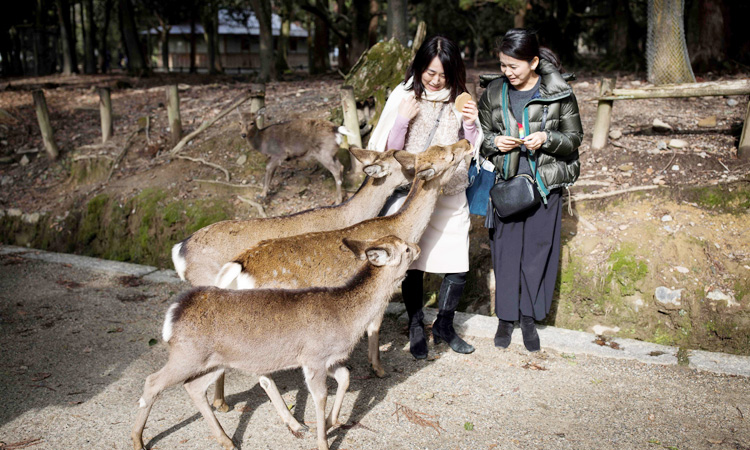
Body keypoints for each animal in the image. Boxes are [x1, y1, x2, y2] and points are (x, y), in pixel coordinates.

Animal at [131, 234, 420, 450]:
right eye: (405, 248)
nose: (418, 248)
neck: (346, 319)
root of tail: (174, 314)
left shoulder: (327, 360)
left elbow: (346, 377)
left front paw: (330, 422)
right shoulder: (313, 357)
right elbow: (320, 396)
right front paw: (323, 441)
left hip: (214, 361)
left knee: (193, 387)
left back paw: (228, 440)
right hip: (186, 355)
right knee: (152, 381)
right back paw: (138, 440)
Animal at [209, 139, 472, 428]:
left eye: (442, 147)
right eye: (449, 156)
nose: (466, 142)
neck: (401, 230)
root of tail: (237, 268)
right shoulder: (382, 289)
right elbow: (374, 327)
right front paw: (379, 369)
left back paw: (222, 403)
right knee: (262, 375)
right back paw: (294, 423)